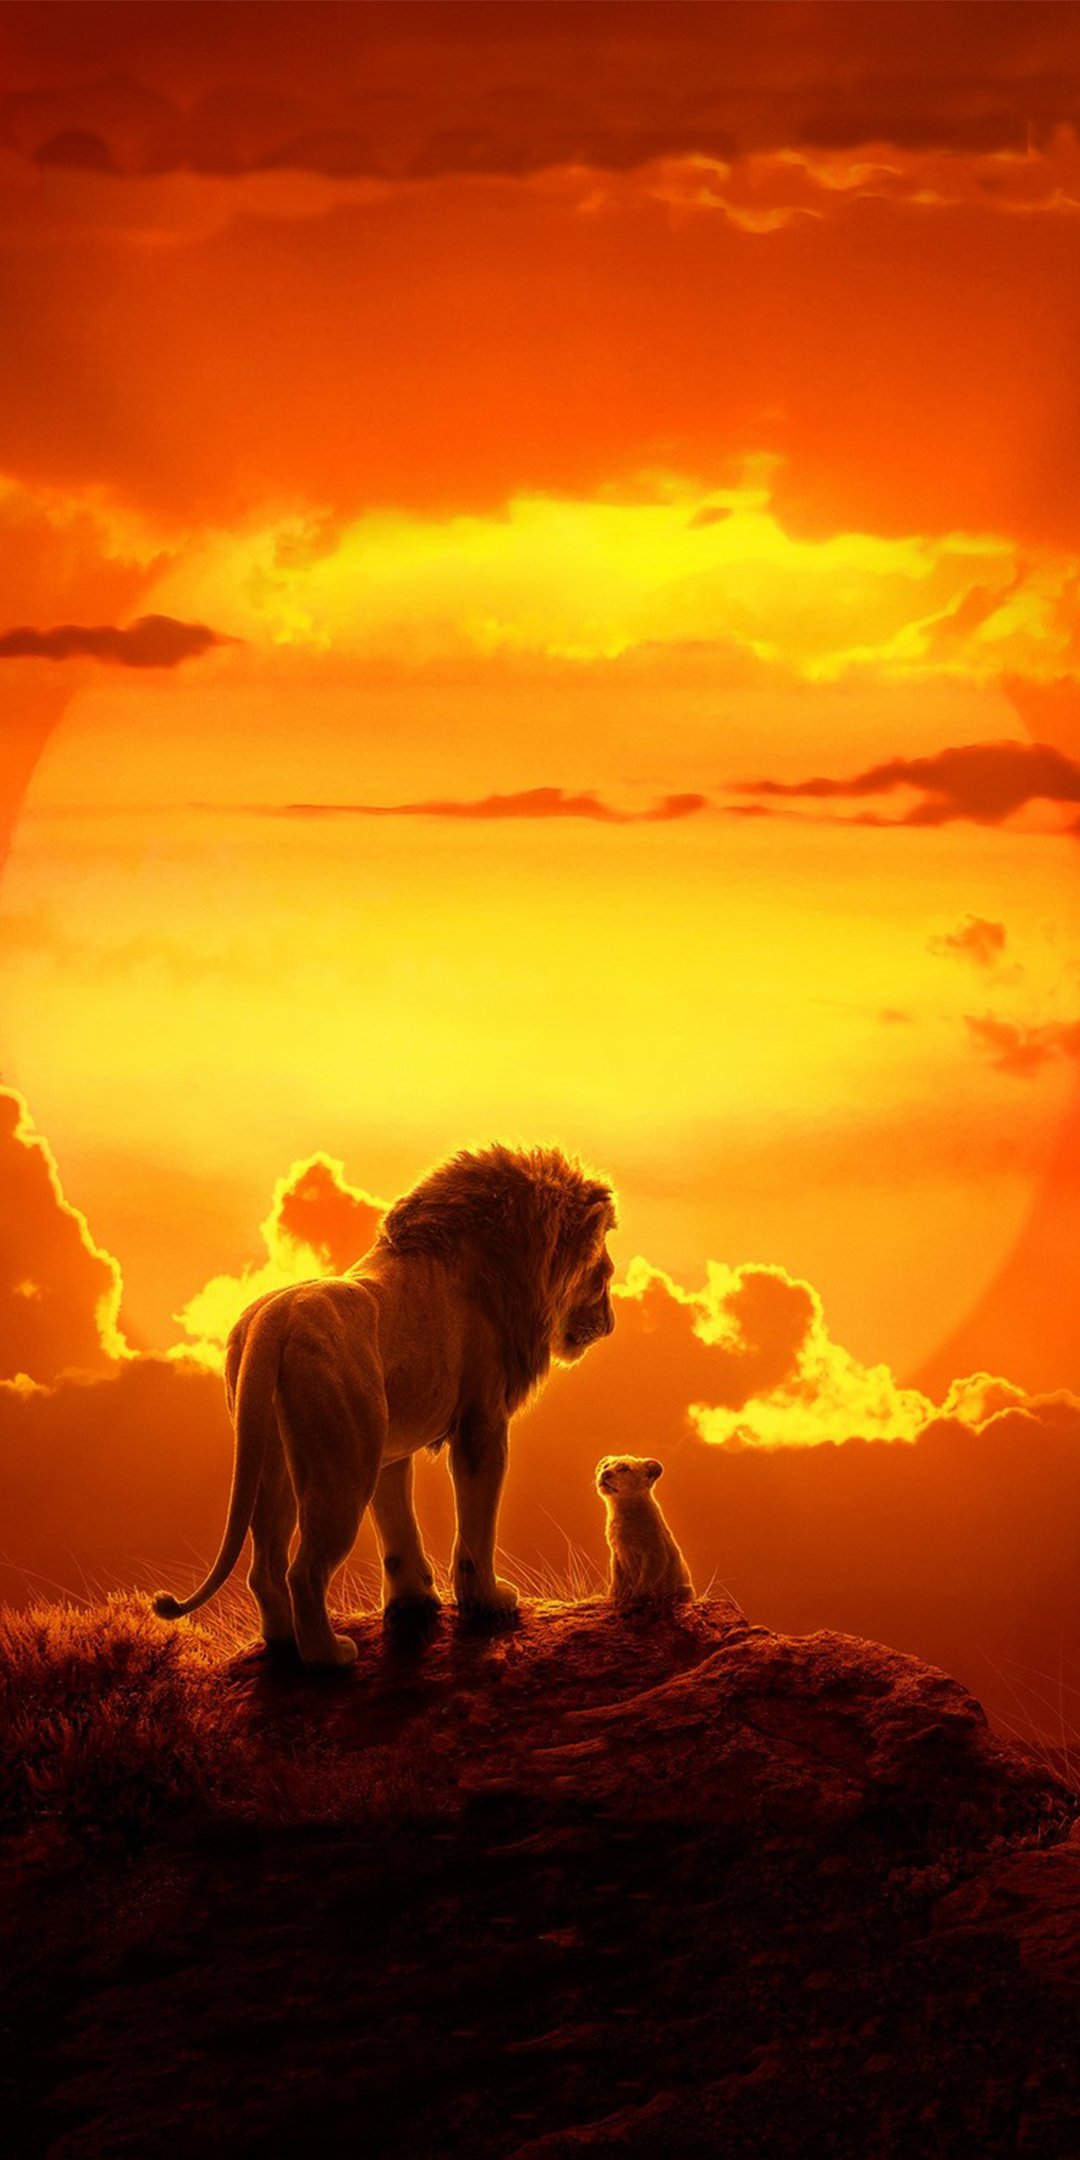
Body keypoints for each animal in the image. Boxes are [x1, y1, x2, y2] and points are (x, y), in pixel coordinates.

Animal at [153, 1144, 617, 1666]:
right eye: (604, 1276)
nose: (611, 1323)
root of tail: (273, 1322)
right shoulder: (481, 1421)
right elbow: (477, 1523)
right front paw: (488, 1601)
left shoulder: (390, 1446)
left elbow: (397, 1526)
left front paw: (413, 1601)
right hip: (342, 1469)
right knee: (305, 1571)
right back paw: (329, 1657)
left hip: (274, 1461)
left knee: (266, 1566)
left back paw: (283, 1643)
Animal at [596, 1455, 694, 1607]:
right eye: (606, 1466)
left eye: (624, 1469)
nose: (605, 1473)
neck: (621, 1510)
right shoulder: (617, 1553)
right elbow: (617, 1579)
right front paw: (614, 1597)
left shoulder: (655, 1553)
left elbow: (646, 1580)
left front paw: (638, 1598)